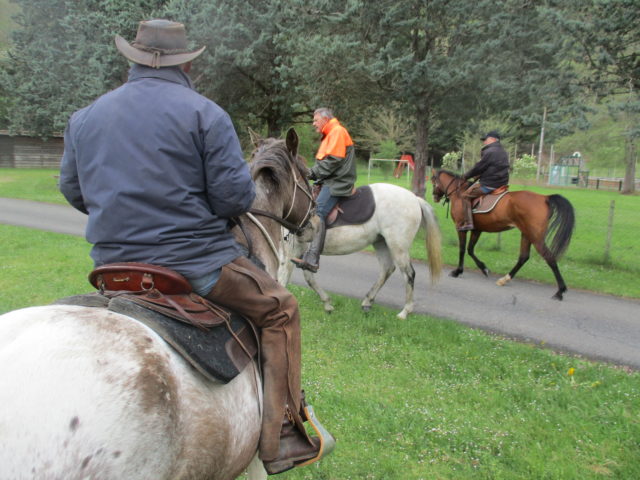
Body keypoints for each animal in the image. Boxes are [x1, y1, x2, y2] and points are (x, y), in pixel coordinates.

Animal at [284, 183, 443, 320]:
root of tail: (415, 199)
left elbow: (283, 279)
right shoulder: (300, 254)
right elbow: (308, 278)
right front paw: (327, 303)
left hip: (398, 247)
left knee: (409, 274)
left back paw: (405, 312)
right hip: (381, 243)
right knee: (387, 269)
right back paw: (367, 302)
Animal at [430, 169, 575, 300]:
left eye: (433, 181)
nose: (434, 197)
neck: (459, 193)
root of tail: (544, 198)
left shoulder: (461, 228)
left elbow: (462, 249)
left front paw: (458, 271)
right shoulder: (477, 230)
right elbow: (470, 250)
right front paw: (484, 268)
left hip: (536, 237)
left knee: (549, 257)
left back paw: (560, 291)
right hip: (526, 234)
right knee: (523, 257)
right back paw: (505, 279)